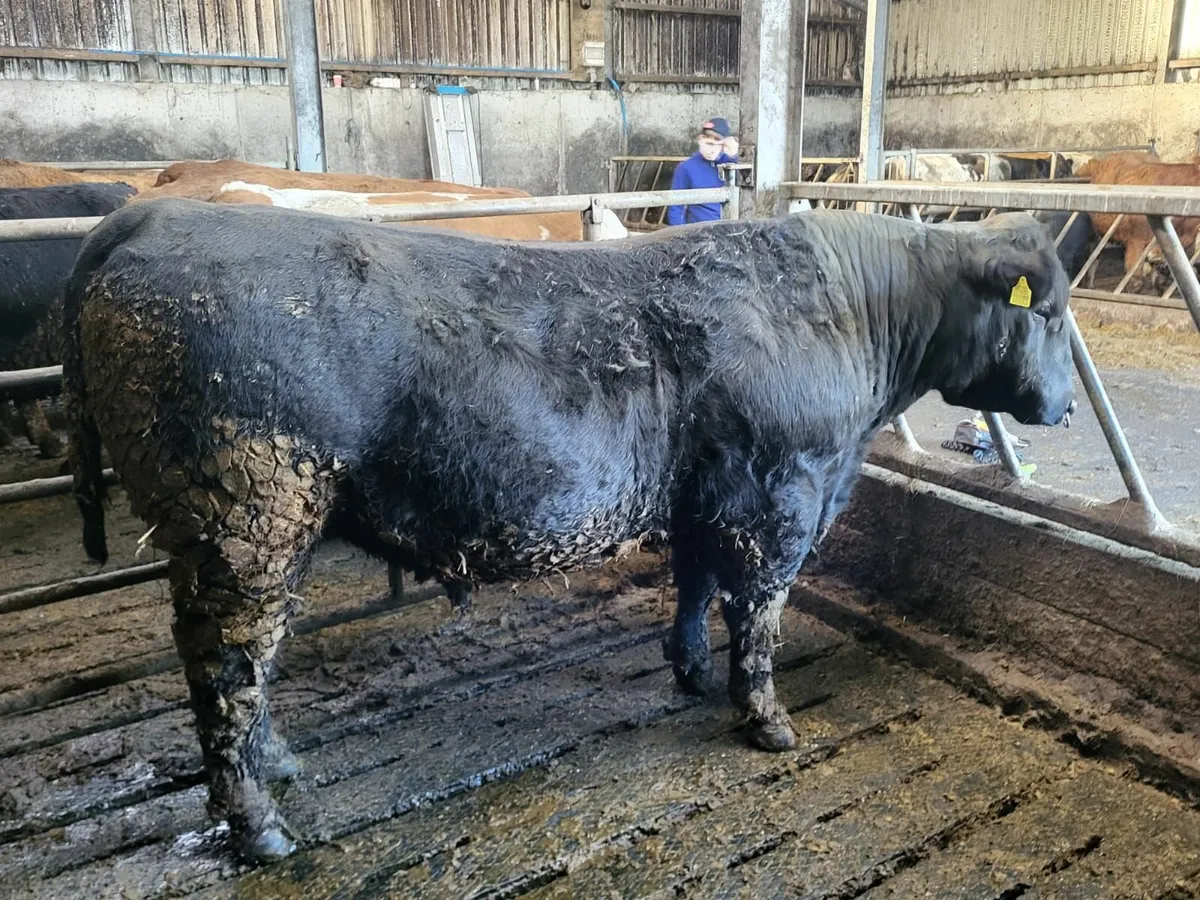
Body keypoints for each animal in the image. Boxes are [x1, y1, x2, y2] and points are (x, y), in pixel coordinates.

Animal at [64, 198, 1076, 863]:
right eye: (1052, 312)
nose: (1067, 407)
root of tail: (156, 212)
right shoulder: (781, 493)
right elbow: (759, 613)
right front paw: (766, 721)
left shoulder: (706, 492)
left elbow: (696, 586)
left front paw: (691, 672)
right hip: (247, 517)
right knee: (225, 664)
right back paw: (261, 826)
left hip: (255, 531)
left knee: (248, 663)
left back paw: (278, 764)